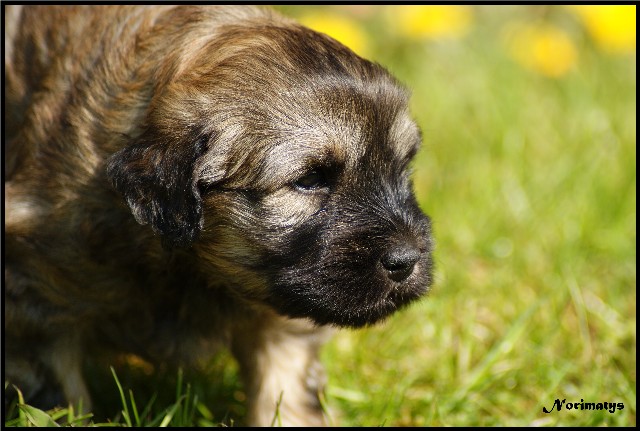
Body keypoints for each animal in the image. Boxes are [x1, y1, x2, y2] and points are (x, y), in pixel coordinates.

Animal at [3, 5, 436, 426]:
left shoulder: (283, 325)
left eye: (401, 169)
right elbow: (62, 398)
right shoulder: (36, 303)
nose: (407, 261)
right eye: (310, 179)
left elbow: (287, 393)